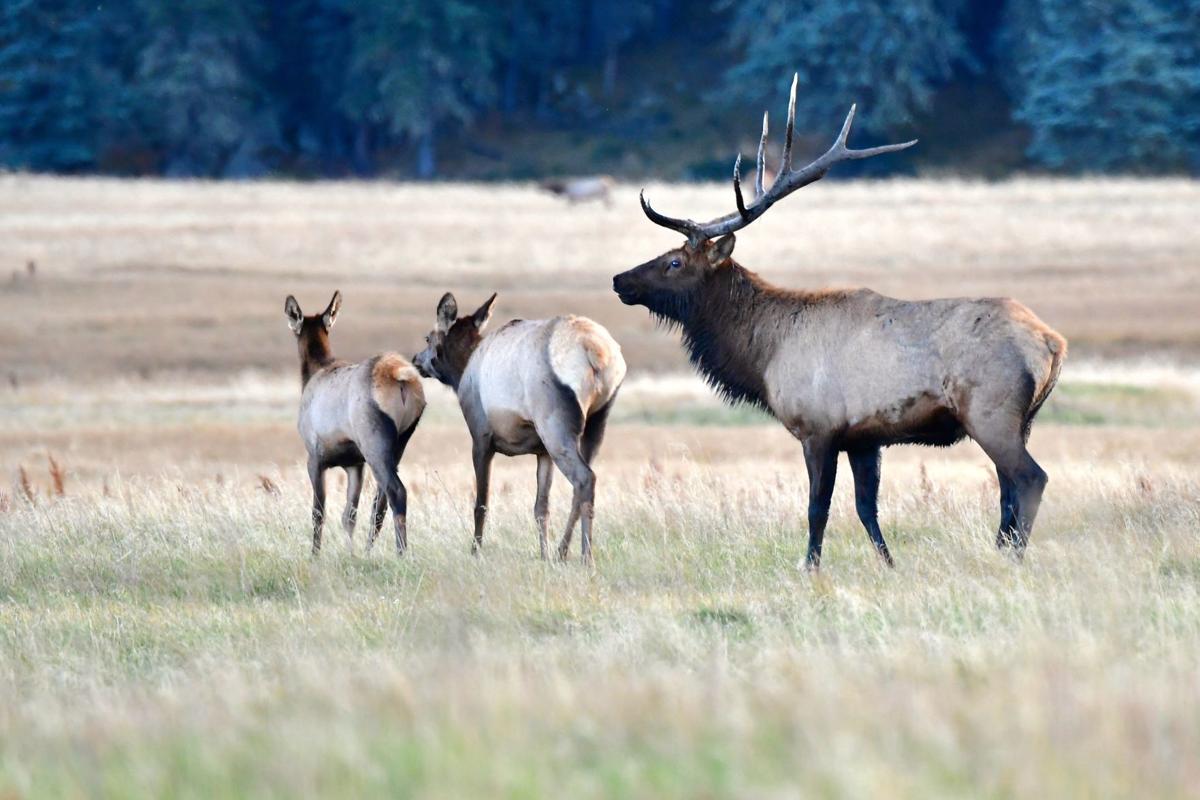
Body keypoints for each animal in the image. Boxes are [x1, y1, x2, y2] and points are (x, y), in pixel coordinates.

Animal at [285, 291, 425, 556]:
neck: (313, 372)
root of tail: (401, 378)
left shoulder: (315, 457)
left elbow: (318, 512)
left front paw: (315, 555)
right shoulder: (354, 464)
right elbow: (349, 515)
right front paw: (350, 553)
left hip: (374, 444)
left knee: (396, 492)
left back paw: (401, 553)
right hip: (399, 444)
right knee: (379, 505)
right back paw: (369, 551)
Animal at [412, 293, 626, 563]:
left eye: (428, 338)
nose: (415, 360)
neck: (461, 373)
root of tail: (596, 353)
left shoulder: (481, 437)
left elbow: (481, 503)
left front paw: (475, 552)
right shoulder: (542, 452)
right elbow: (541, 508)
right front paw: (544, 556)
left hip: (555, 426)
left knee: (585, 478)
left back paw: (586, 558)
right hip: (596, 422)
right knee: (581, 487)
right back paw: (561, 552)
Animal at [612, 75, 1067, 569]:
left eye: (674, 262)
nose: (620, 280)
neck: (763, 355)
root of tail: (1053, 343)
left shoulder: (818, 427)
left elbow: (818, 507)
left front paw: (809, 567)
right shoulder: (864, 438)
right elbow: (867, 508)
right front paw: (889, 565)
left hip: (990, 411)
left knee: (1029, 479)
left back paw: (1012, 556)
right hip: (1021, 419)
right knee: (1007, 489)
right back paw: (1000, 550)